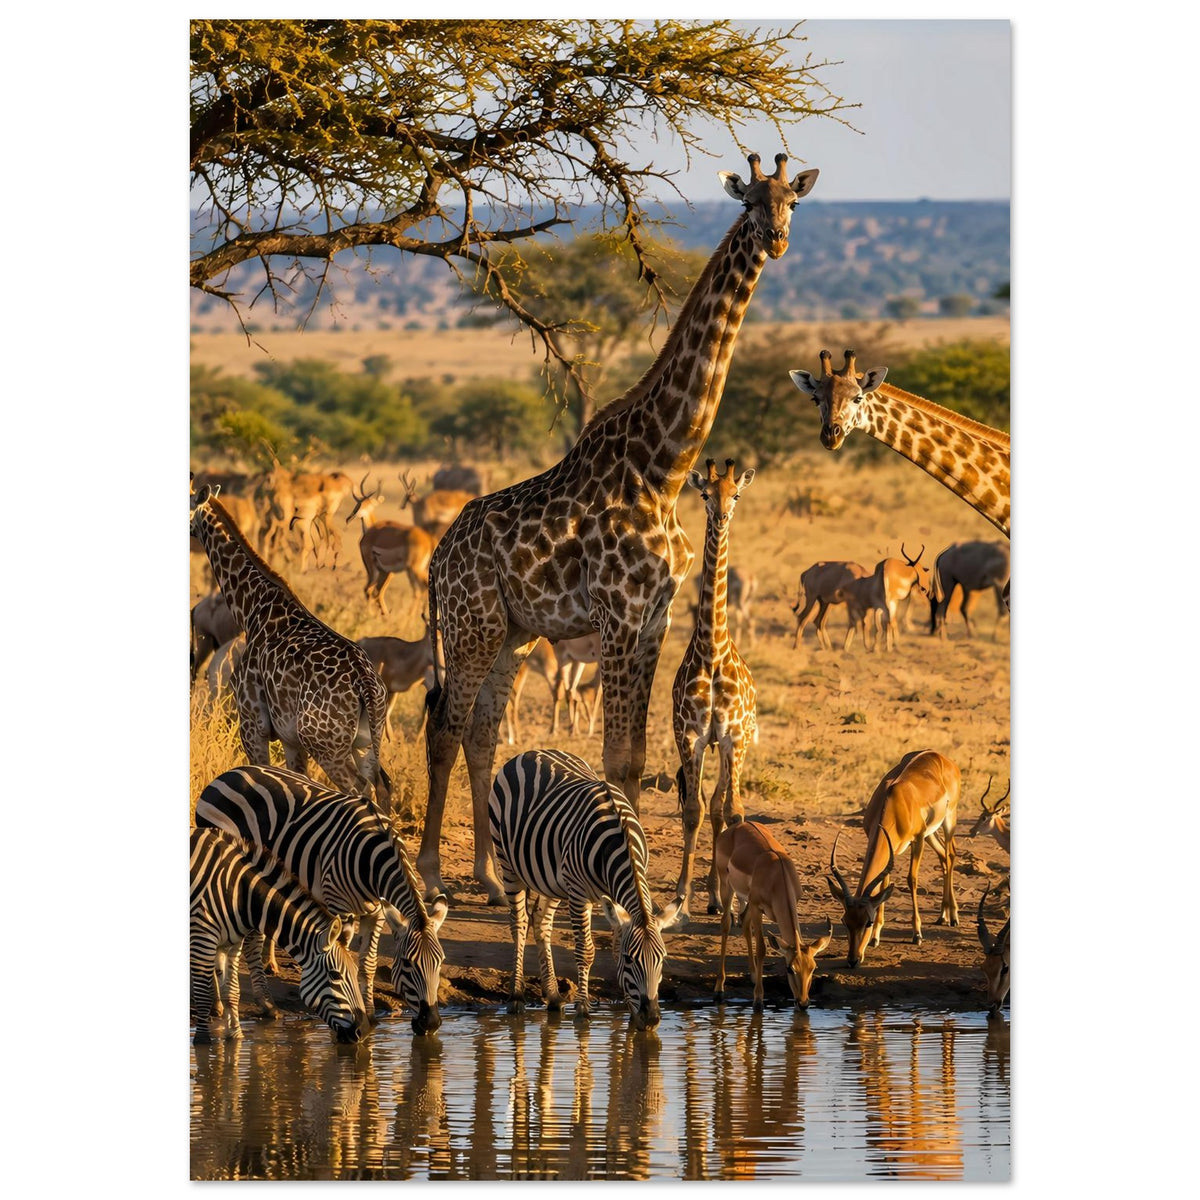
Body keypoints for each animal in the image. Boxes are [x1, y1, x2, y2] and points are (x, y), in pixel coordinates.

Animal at [190, 827, 367, 1045]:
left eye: (355, 972)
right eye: (335, 975)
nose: (363, 1032)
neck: (241, 893)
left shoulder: (231, 944)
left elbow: (232, 991)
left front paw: (236, 1036)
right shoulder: (202, 934)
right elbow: (202, 993)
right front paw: (203, 1041)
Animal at [488, 748, 685, 1030]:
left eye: (662, 959)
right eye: (630, 960)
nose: (651, 1020)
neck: (619, 841)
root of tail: (531, 752)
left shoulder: (612, 899)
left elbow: (613, 947)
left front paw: (629, 1012)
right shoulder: (579, 893)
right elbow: (586, 950)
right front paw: (583, 1009)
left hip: (553, 880)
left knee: (541, 921)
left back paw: (553, 996)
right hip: (508, 863)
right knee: (519, 924)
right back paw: (516, 997)